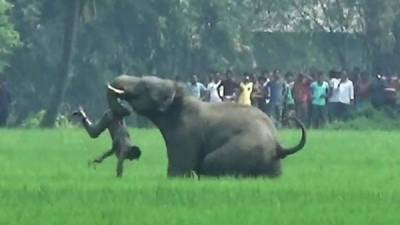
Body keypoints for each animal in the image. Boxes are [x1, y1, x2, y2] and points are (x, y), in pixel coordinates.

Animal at [107, 75, 306, 178]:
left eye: (144, 86)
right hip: (272, 165)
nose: (123, 110)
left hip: (245, 149)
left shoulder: (185, 134)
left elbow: (179, 169)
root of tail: (278, 146)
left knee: (210, 161)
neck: (180, 99)